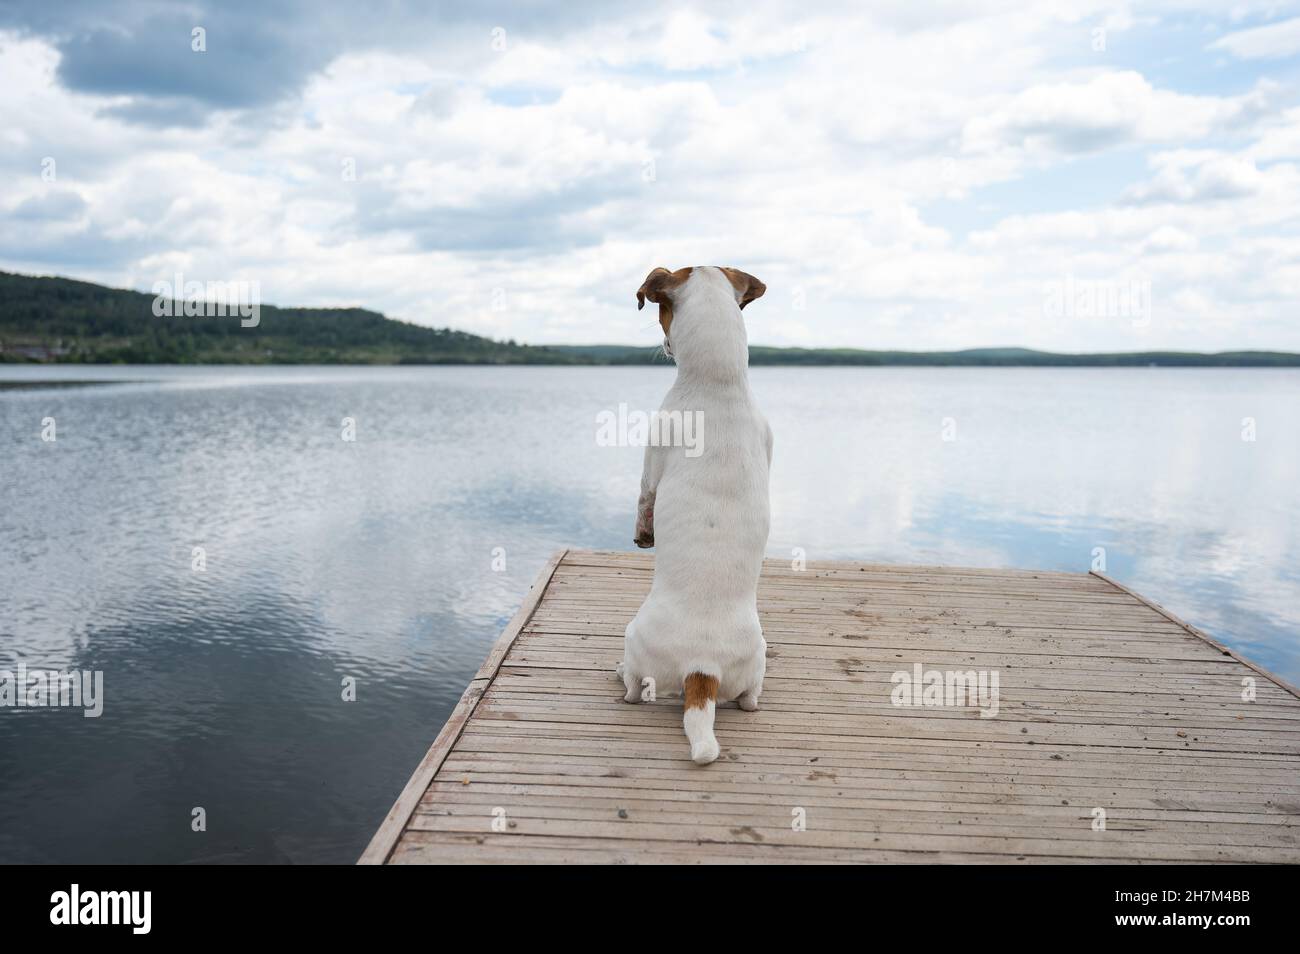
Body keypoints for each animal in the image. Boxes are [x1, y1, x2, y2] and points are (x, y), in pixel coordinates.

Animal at [618, 265, 769, 764]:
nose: (664, 347)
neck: (718, 383)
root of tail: (702, 669)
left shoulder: (651, 460)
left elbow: (643, 501)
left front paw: (642, 535)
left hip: (633, 639)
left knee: (634, 689)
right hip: (757, 659)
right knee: (750, 698)